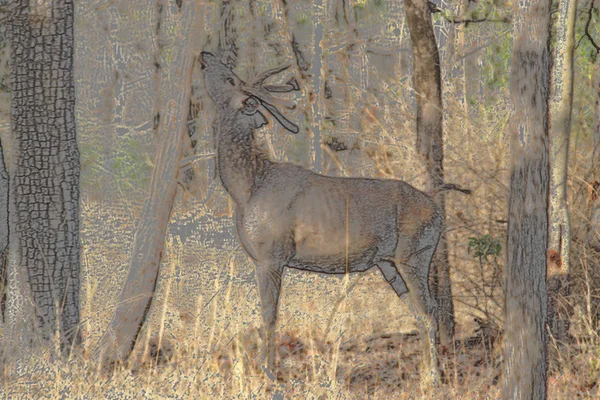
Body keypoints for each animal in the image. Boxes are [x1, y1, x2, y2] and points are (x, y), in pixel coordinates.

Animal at [199, 50, 472, 384]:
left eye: (230, 79)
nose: (205, 54)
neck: (247, 187)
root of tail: (433, 201)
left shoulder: (272, 254)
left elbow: (269, 317)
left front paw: (268, 374)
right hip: (389, 263)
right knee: (419, 315)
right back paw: (424, 373)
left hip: (415, 253)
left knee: (430, 312)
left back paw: (432, 377)